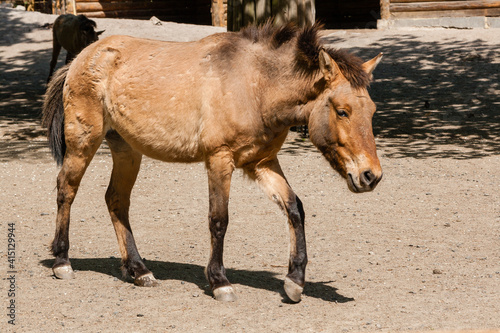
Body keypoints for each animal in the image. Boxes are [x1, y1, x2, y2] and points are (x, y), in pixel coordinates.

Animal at [43, 22, 384, 302]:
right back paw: (62, 261)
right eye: (342, 111)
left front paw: (295, 281)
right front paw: (219, 281)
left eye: (372, 110)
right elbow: (219, 220)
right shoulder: (220, 160)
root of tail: (81, 58)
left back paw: (139, 270)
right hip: (83, 142)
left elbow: (294, 209)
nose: (371, 176)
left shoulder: (262, 163)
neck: (256, 86)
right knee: (66, 189)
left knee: (116, 200)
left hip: (127, 150)